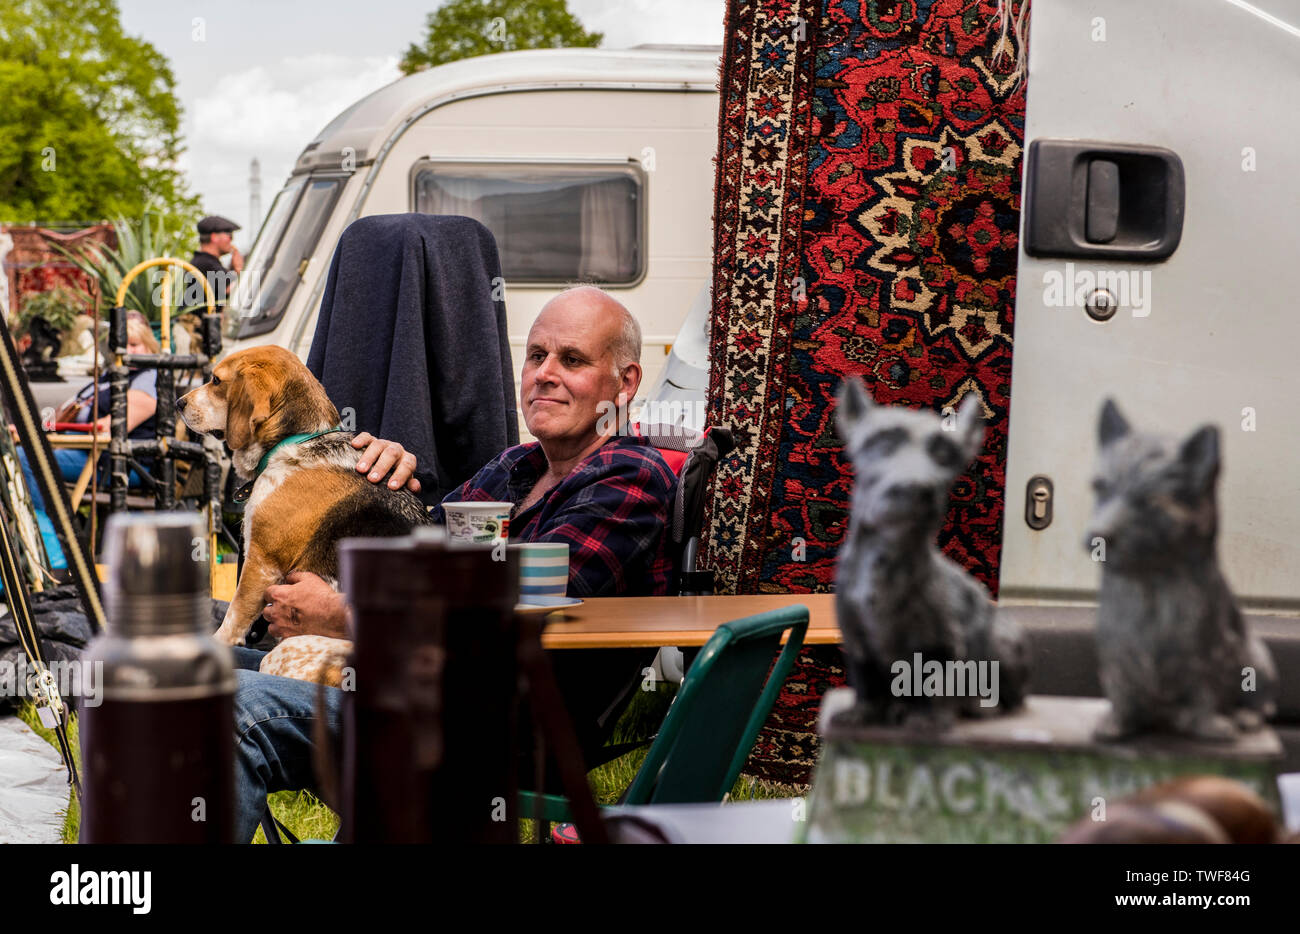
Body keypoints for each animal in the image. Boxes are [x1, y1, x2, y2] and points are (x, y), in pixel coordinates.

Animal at [178, 348, 434, 686]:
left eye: (216, 381)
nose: (179, 403)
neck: (298, 441)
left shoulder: (261, 564)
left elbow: (232, 619)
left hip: (285, 653)